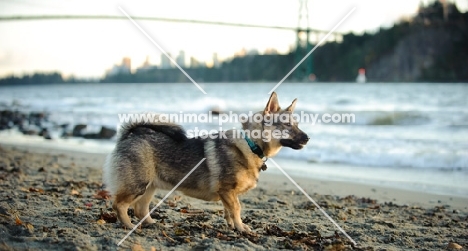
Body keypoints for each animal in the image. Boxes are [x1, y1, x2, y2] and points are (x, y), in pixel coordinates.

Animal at [104, 92, 312, 231]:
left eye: (297, 125)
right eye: (287, 125)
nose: (308, 138)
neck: (250, 144)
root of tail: (131, 133)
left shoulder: (228, 194)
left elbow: (229, 211)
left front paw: (232, 226)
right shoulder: (227, 191)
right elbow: (237, 209)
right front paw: (241, 227)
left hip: (149, 188)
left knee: (140, 209)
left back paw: (151, 224)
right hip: (137, 186)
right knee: (119, 206)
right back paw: (129, 225)